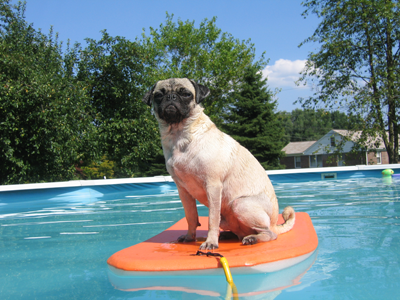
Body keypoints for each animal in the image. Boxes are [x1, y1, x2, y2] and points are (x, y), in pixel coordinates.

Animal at [142, 78, 296, 250]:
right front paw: (190, 237)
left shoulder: (213, 186)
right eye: (158, 95)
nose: (171, 97)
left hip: (240, 204)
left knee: (269, 233)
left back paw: (252, 238)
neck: (180, 135)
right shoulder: (183, 190)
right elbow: (191, 217)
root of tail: (275, 223)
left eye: (186, 94)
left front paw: (210, 242)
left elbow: (211, 219)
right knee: (238, 231)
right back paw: (228, 235)